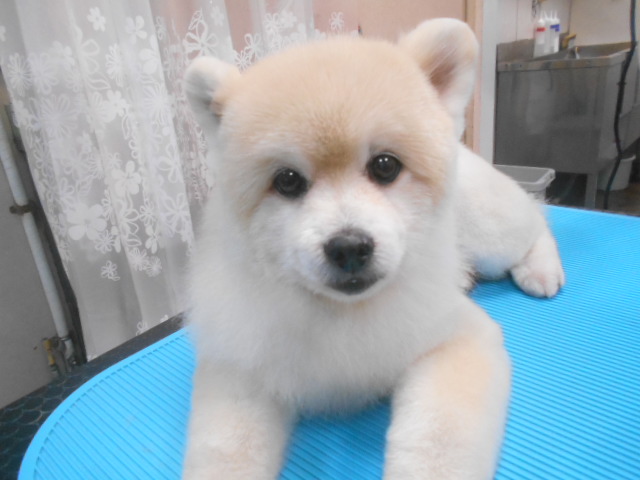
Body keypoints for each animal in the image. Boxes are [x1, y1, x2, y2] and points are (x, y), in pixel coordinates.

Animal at [182, 18, 564, 479]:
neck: (344, 314)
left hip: (489, 226)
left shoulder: (458, 340)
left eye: (385, 166)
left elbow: (437, 443)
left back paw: (541, 270)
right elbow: (225, 449)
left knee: (538, 220)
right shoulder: (239, 364)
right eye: (287, 180)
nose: (348, 247)